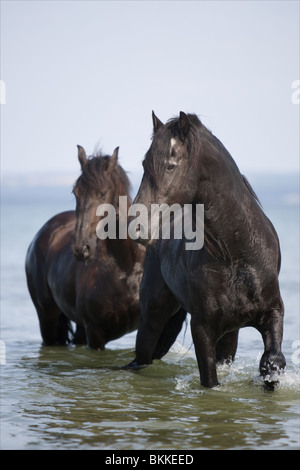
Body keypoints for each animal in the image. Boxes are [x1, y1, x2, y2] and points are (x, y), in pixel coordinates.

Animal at [24, 147, 146, 348]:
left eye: (103, 193)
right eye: (76, 193)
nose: (82, 248)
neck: (126, 268)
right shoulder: (95, 334)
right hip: (47, 319)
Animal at [129, 112, 286, 388]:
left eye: (171, 165)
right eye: (145, 164)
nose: (137, 226)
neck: (238, 255)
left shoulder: (274, 311)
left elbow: (272, 360)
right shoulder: (202, 328)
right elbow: (210, 379)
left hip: (230, 334)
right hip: (153, 317)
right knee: (143, 355)